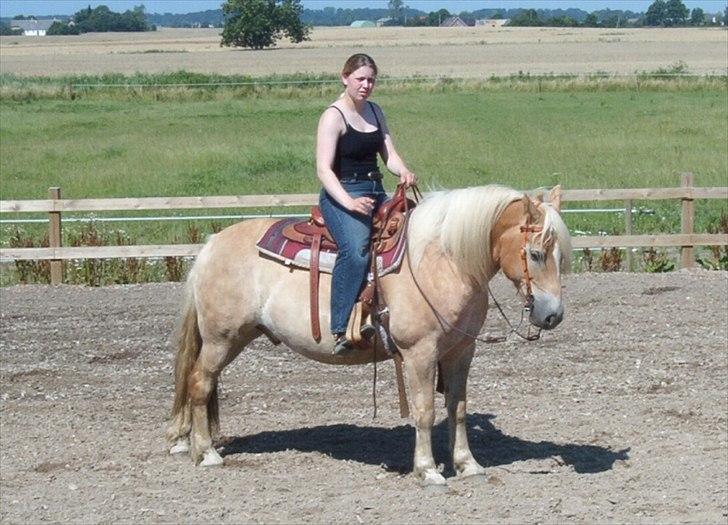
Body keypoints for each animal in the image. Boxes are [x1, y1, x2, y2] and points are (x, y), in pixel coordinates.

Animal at [168, 184, 572, 484]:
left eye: (559, 255)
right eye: (535, 253)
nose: (552, 315)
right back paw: (206, 453)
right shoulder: (420, 353)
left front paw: (467, 464)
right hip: (221, 339)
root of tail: (211, 244)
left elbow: (457, 408)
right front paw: (427, 470)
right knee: (199, 384)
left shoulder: (461, 350)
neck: (442, 261)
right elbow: (424, 410)